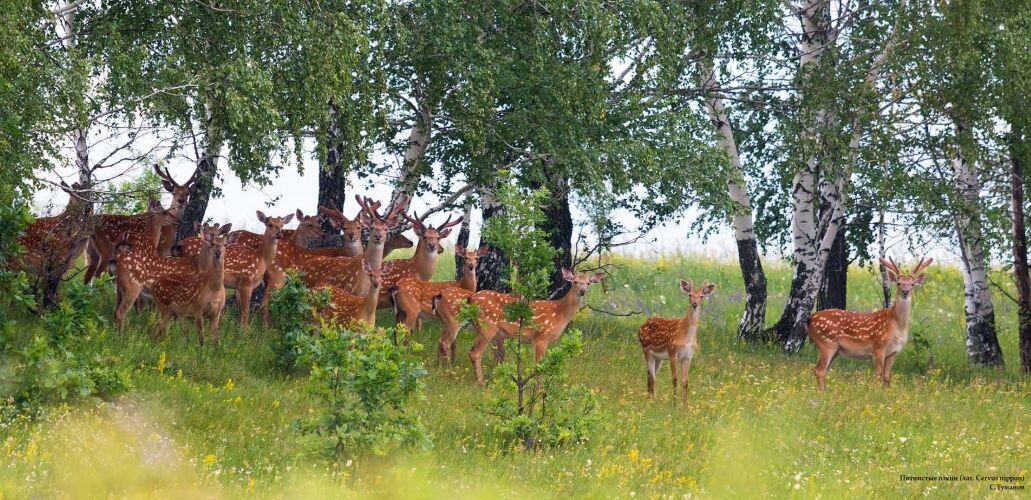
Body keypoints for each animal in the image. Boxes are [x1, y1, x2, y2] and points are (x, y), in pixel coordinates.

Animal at [468, 268, 602, 383]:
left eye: (588, 283)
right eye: (575, 281)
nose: (582, 291)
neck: (560, 313)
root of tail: (471, 299)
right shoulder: (541, 336)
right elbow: (539, 366)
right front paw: (539, 389)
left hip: (485, 329)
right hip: (487, 326)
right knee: (475, 353)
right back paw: (481, 383)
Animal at [804, 257, 936, 389]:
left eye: (912, 284)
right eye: (898, 283)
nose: (905, 291)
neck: (896, 325)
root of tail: (809, 319)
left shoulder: (893, 352)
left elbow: (886, 377)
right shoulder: (878, 347)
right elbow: (877, 376)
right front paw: (876, 392)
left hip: (835, 349)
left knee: (821, 369)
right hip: (826, 343)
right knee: (820, 370)